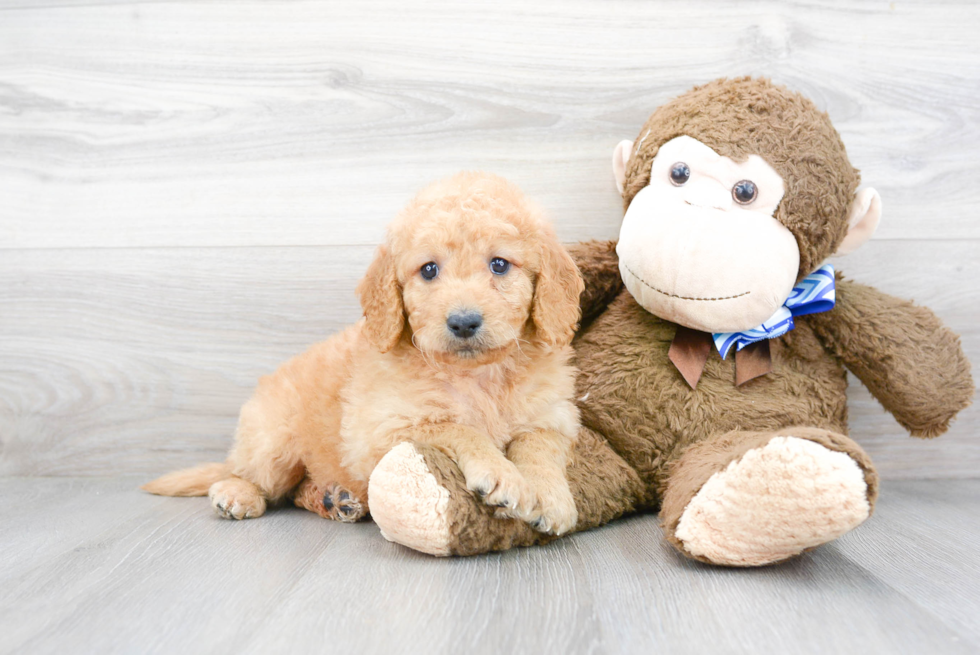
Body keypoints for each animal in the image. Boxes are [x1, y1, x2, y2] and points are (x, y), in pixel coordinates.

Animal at [143, 172, 584, 536]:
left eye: (499, 265)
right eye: (428, 270)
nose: (463, 322)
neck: (478, 376)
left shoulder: (552, 417)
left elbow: (540, 446)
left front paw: (550, 498)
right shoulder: (380, 432)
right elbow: (458, 429)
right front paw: (500, 472)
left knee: (297, 491)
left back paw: (334, 499)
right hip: (273, 443)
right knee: (252, 477)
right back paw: (237, 494)